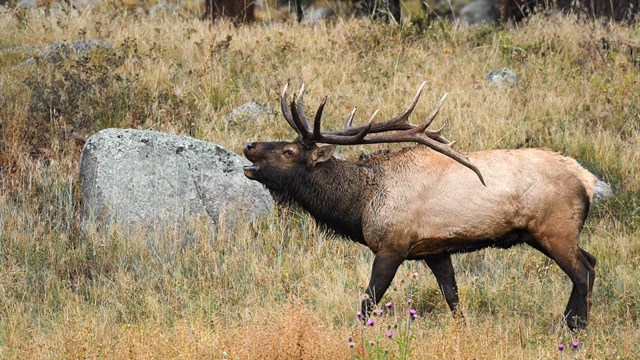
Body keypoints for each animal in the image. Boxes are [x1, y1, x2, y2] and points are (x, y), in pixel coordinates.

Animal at [242, 81, 604, 330]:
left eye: (288, 152)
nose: (249, 145)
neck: (360, 206)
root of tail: (587, 179)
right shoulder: (435, 250)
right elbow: (453, 297)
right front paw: (463, 330)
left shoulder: (392, 246)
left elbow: (368, 300)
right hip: (543, 234)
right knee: (591, 260)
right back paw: (569, 322)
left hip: (554, 229)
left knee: (583, 271)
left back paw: (578, 328)